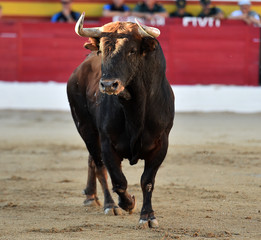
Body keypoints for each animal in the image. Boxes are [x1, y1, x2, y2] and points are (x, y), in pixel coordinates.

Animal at [66, 13, 174, 229]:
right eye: (102, 51)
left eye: (132, 50)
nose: (108, 84)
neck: (136, 108)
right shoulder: (107, 143)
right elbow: (118, 180)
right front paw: (129, 203)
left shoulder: (161, 144)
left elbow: (147, 181)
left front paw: (147, 216)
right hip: (85, 128)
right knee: (99, 165)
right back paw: (109, 204)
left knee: (92, 160)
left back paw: (90, 196)